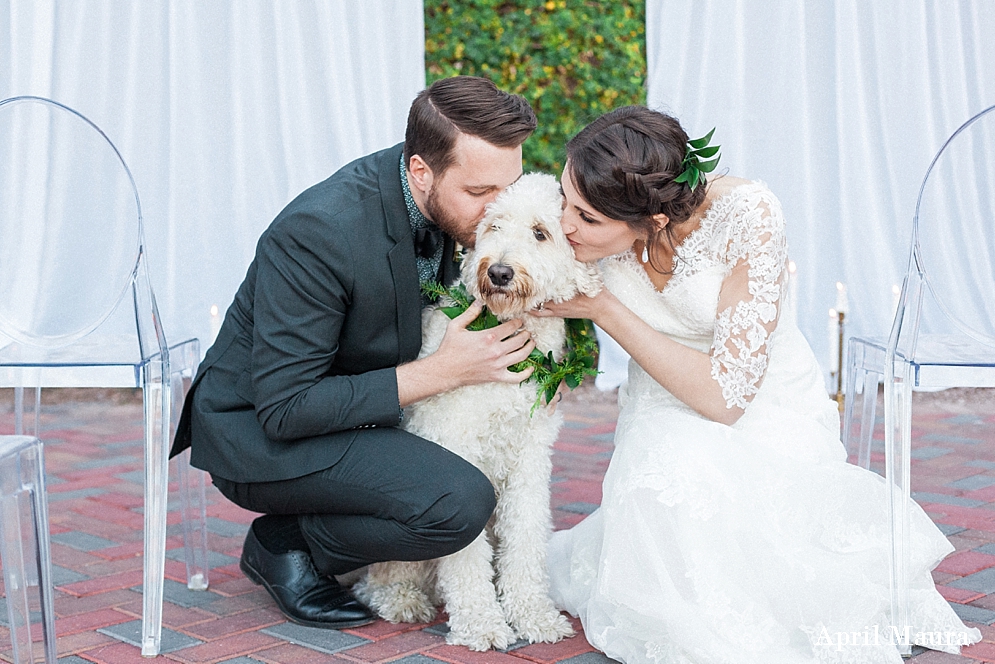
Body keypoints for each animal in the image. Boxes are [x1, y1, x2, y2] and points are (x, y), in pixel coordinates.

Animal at [358, 172, 608, 652]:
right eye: (494, 225)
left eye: (540, 233)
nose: (498, 272)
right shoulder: (460, 447)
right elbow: (466, 556)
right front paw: (481, 623)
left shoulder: (531, 458)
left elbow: (526, 536)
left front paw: (533, 615)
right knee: (378, 577)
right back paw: (401, 598)